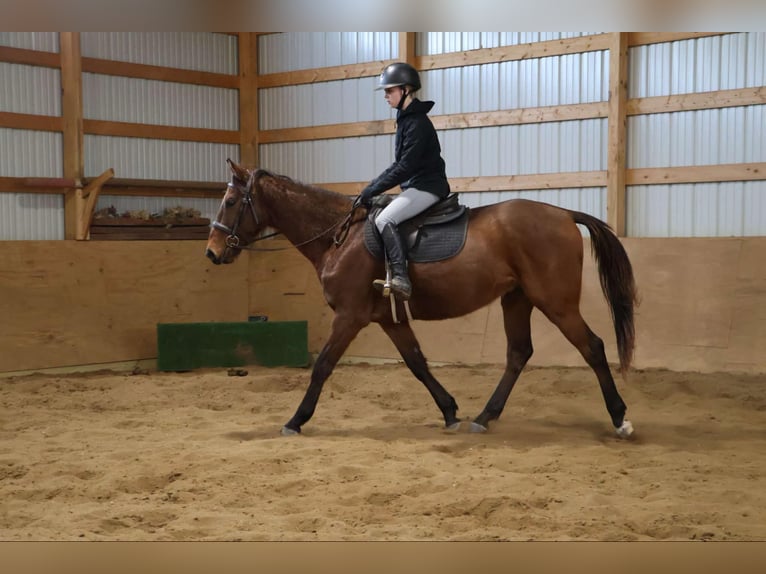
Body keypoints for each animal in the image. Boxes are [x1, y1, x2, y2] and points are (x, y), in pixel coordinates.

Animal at [206, 160, 640, 438]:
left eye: (230, 202)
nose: (211, 253)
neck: (339, 237)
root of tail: (564, 214)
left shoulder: (349, 316)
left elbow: (323, 366)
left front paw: (295, 420)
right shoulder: (389, 318)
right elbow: (416, 362)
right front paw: (449, 411)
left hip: (556, 302)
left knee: (592, 347)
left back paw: (620, 418)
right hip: (517, 299)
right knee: (519, 353)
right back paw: (485, 416)